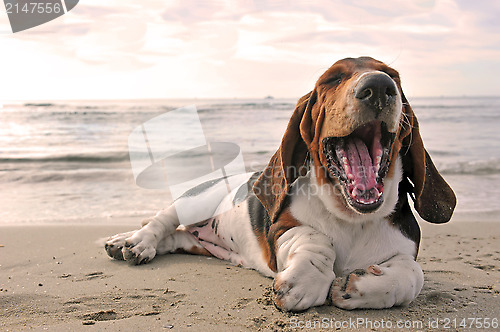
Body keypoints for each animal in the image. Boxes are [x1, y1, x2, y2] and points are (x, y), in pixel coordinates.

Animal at [105, 56, 458, 312]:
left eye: (392, 76)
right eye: (332, 79)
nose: (379, 86)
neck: (351, 217)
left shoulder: (406, 250)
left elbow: (413, 274)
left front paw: (357, 287)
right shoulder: (282, 229)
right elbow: (317, 240)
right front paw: (304, 282)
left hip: (197, 243)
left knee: (174, 238)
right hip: (196, 200)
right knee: (161, 221)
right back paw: (133, 243)